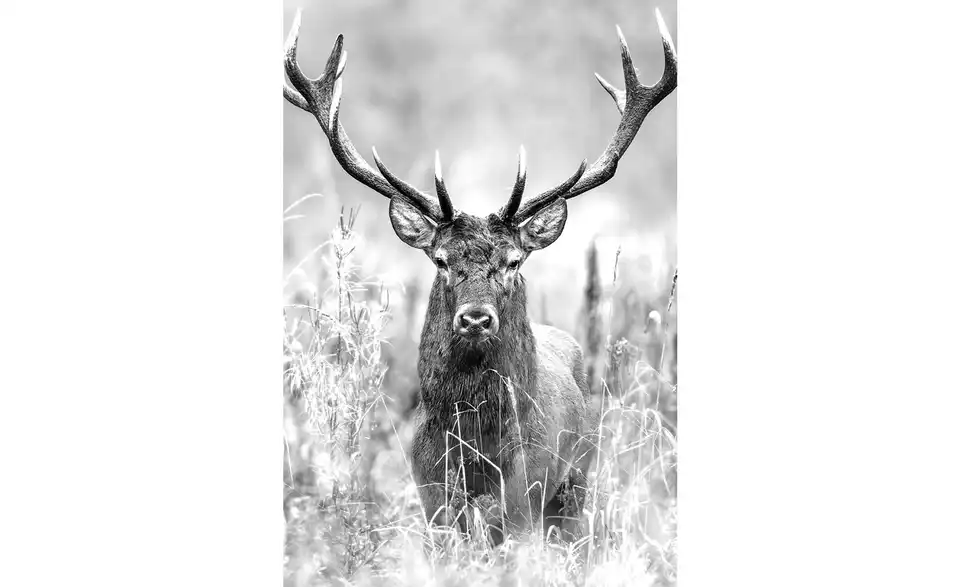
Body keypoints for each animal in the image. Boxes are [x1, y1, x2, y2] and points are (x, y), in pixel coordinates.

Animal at [283, 8, 677, 544]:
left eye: (513, 261)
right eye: (441, 260)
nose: (475, 319)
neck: (476, 440)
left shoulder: (527, 490)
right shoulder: (429, 491)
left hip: (578, 479)